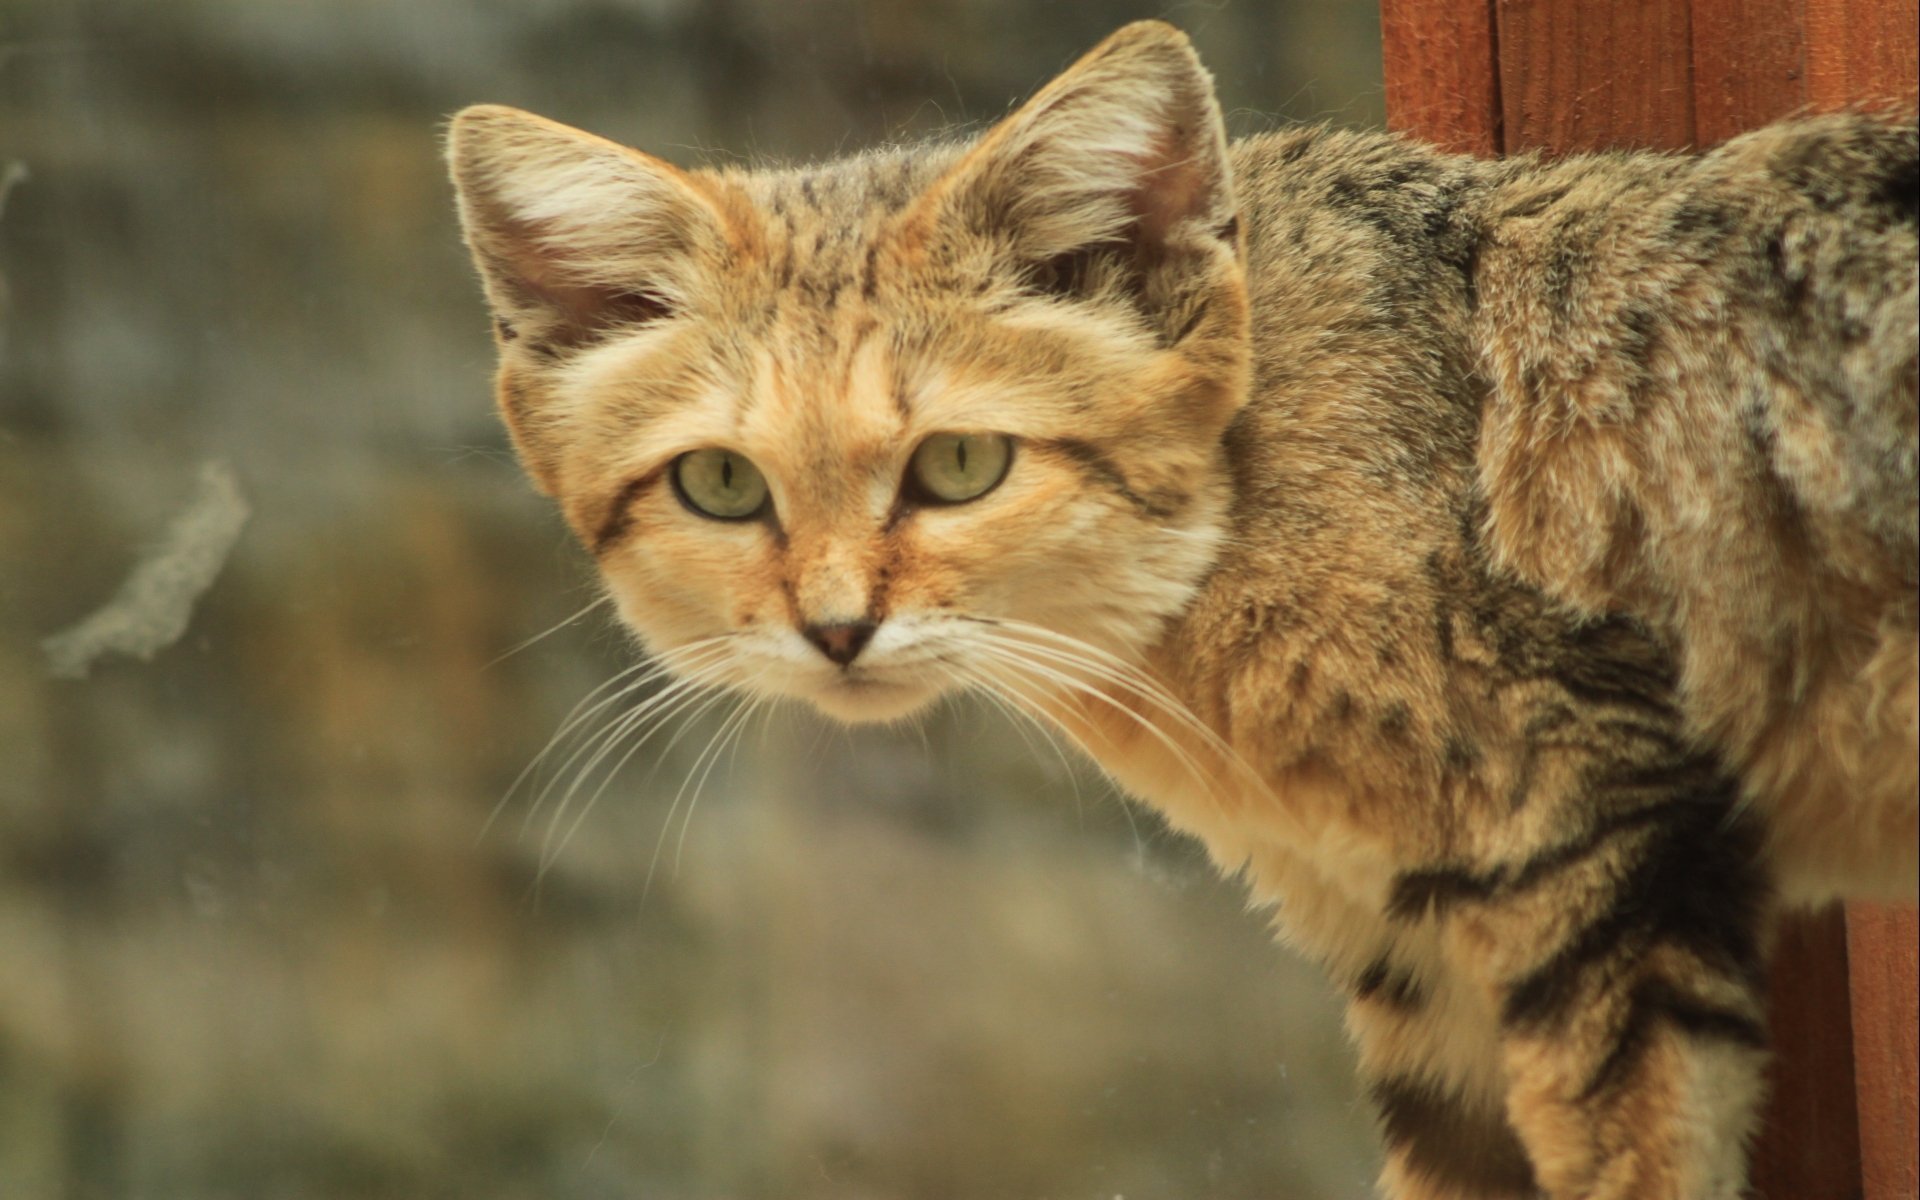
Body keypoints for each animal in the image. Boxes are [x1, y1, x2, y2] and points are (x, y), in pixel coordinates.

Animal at [445, 21, 1904, 1198]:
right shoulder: (1414, 955)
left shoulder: (1589, 840)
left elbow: (1630, 1156)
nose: (837, 629)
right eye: (722, 485)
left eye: (959, 465)